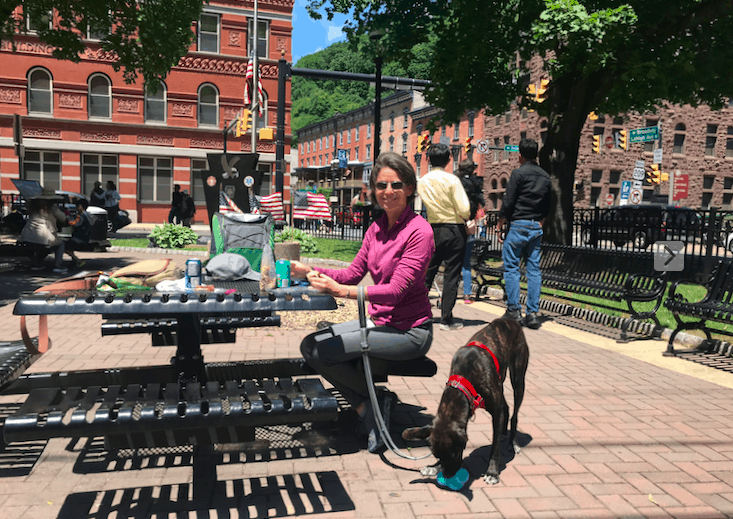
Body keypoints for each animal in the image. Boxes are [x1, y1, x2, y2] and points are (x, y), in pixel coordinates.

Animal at [404, 318, 528, 486]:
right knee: (506, 407)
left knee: (514, 413)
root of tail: (510, 320)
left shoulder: (495, 410)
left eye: (454, 454)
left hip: (518, 379)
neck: (463, 379)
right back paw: (503, 433)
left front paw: (492, 472)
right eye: (438, 456)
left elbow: (495, 447)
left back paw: (512, 443)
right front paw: (433, 467)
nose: (447, 475)